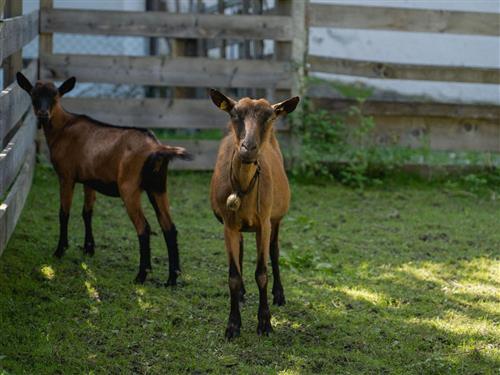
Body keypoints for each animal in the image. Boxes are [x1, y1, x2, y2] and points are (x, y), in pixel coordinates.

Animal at [16, 72, 189, 284]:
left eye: (55, 96)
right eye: (33, 95)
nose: (42, 114)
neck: (63, 128)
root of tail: (157, 148)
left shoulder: (66, 175)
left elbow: (64, 213)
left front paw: (60, 250)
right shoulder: (89, 180)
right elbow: (87, 212)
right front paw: (89, 248)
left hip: (129, 187)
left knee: (144, 227)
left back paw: (141, 275)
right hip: (158, 187)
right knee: (169, 227)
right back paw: (172, 279)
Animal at [209, 89, 298, 340]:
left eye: (269, 117)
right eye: (234, 114)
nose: (248, 148)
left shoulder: (264, 222)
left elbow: (262, 273)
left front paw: (265, 323)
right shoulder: (228, 224)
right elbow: (233, 276)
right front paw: (232, 325)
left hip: (276, 218)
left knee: (275, 252)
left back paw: (279, 295)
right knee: (240, 250)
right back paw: (241, 295)